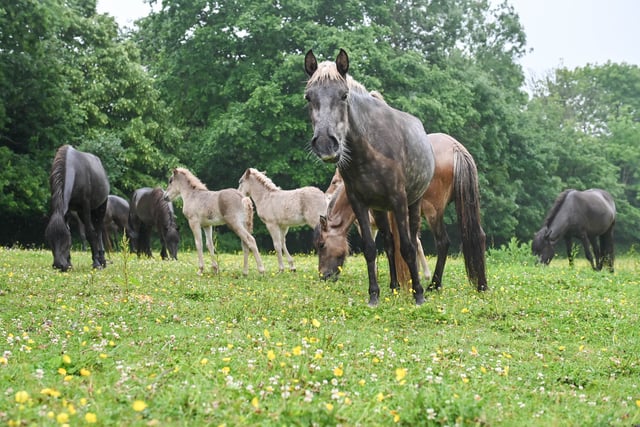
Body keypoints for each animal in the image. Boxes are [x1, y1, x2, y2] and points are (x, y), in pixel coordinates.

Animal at [304, 49, 435, 306]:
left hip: (413, 203)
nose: (325, 144)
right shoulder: (360, 203)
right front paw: (374, 295)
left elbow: (407, 247)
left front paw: (418, 294)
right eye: (308, 97)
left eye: (344, 95)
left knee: (411, 239)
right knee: (388, 243)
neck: (368, 152)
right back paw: (393, 287)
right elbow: (370, 249)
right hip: (380, 209)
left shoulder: (399, 200)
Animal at [314, 133, 487, 291]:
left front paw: (395, 284)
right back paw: (482, 285)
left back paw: (434, 285)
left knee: (443, 242)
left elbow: (390, 244)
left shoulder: (380, 214)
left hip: (433, 212)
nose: (323, 276)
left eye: (321, 245)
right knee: (478, 235)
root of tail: (455, 147)